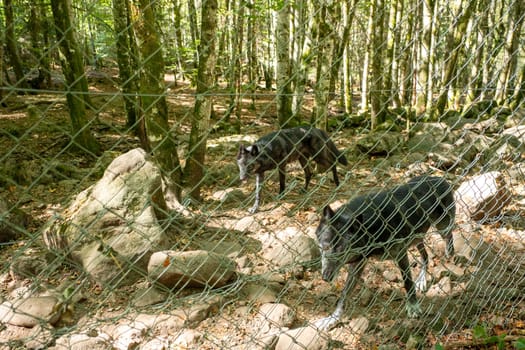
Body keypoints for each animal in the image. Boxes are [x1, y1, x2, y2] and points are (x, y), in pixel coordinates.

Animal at [312, 176, 454, 330]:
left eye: (341, 252)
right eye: (324, 247)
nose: (326, 277)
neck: (371, 227)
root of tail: (438, 178)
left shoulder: (400, 254)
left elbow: (407, 282)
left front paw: (413, 307)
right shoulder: (358, 263)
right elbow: (344, 295)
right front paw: (332, 318)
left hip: (442, 227)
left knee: (450, 235)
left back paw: (450, 252)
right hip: (417, 237)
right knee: (425, 256)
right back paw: (422, 280)